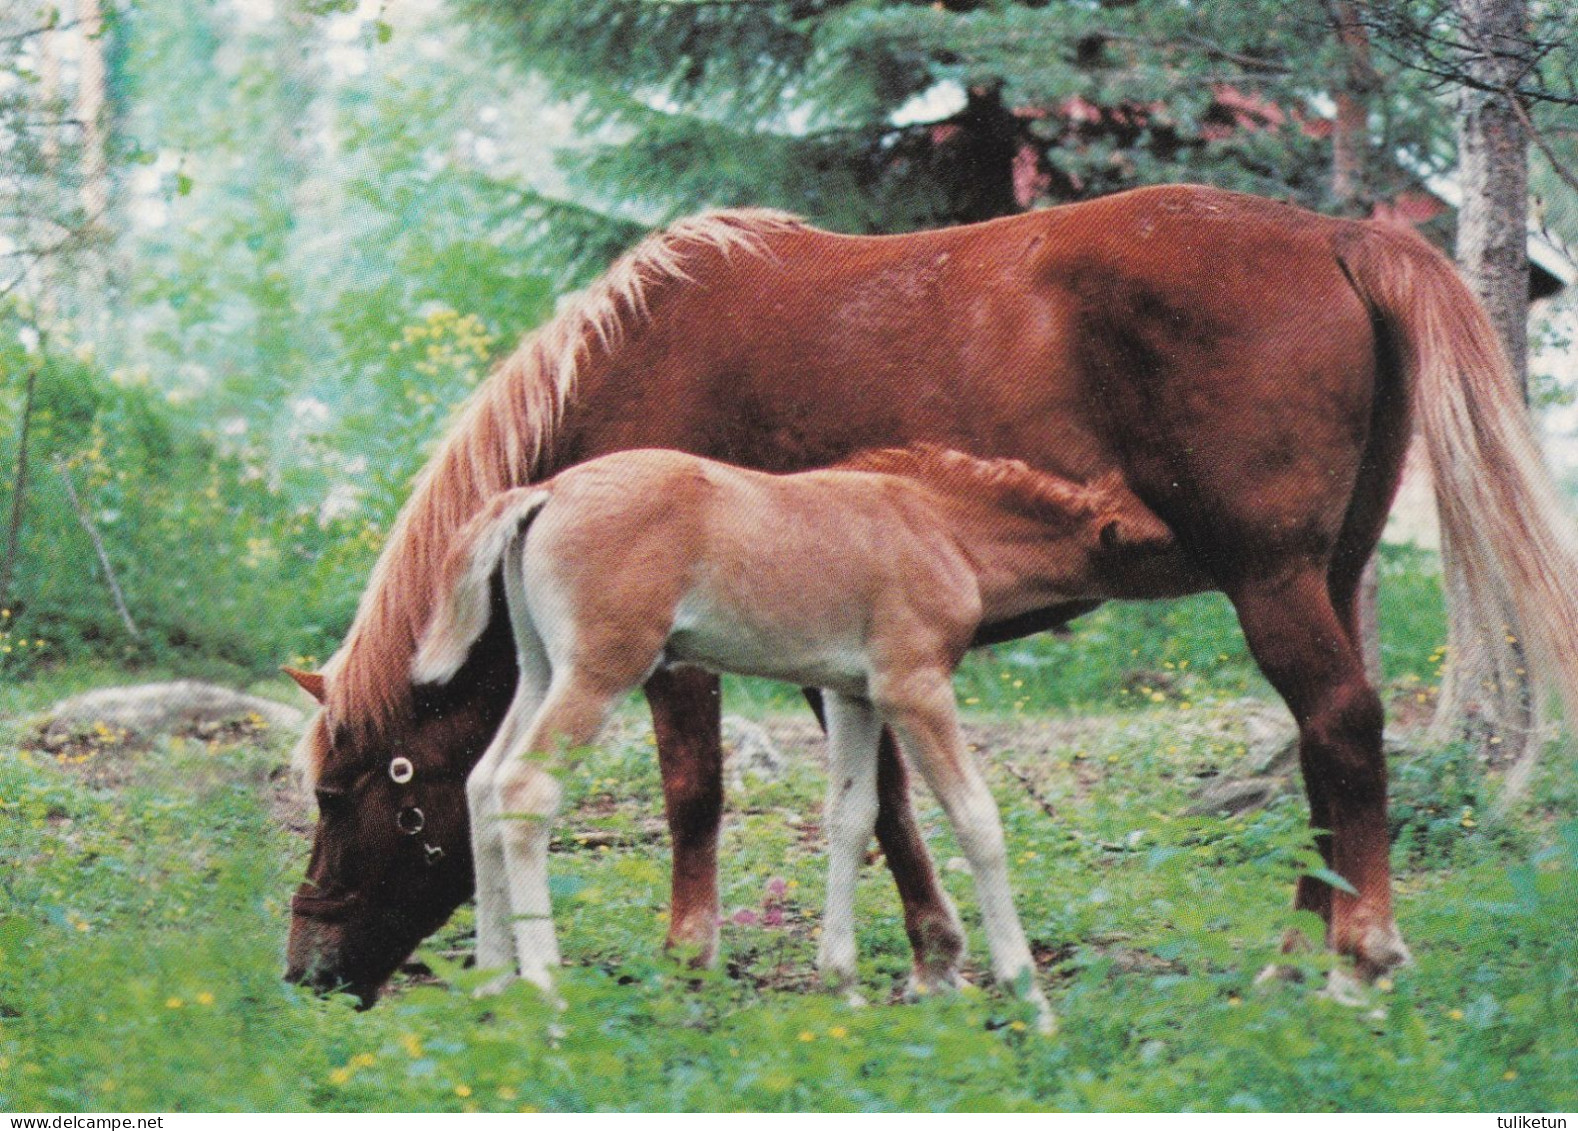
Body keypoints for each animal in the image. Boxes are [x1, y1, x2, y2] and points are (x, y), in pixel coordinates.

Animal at [413, 444, 1180, 1028]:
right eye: (1159, 541)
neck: (940, 528)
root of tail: (545, 490)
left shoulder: (851, 693)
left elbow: (851, 815)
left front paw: (842, 985)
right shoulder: (914, 685)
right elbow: (976, 819)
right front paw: (1032, 1001)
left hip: (542, 666)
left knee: (483, 783)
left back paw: (489, 984)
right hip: (603, 666)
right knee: (524, 787)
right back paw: (546, 993)